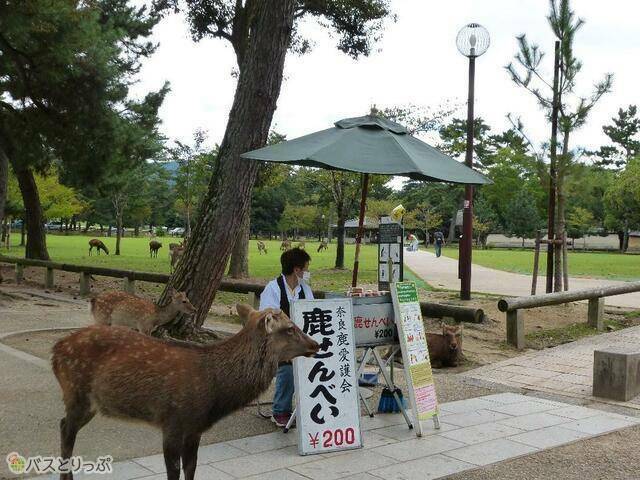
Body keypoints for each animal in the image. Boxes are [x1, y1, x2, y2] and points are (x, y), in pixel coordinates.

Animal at [53, 306, 320, 480]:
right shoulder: (172, 421)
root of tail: (56, 349)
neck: (214, 393)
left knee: (64, 424)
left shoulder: (195, 428)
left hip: (91, 403)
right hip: (76, 393)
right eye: (289, 328)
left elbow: (191, 468)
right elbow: (173, 471)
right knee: (66, 429)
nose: (316, 344)